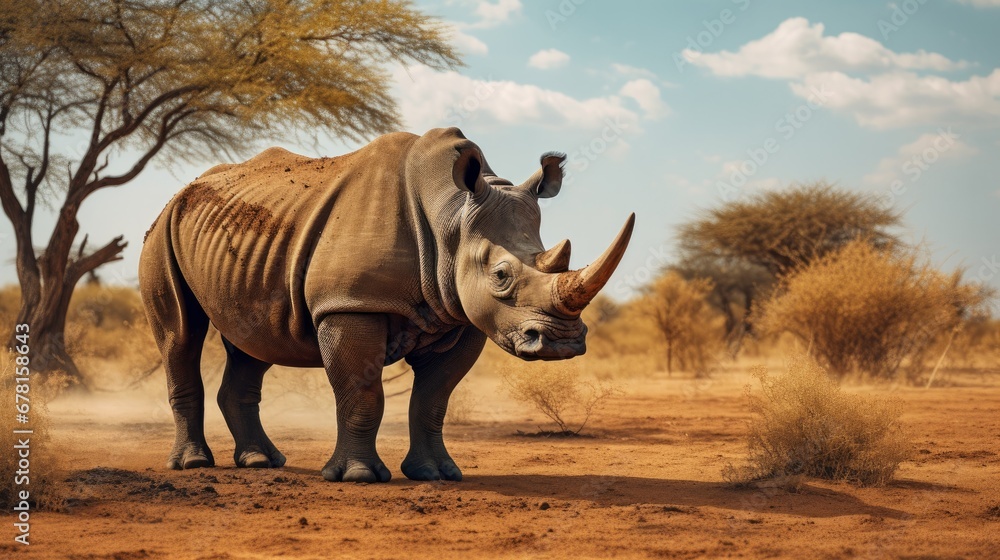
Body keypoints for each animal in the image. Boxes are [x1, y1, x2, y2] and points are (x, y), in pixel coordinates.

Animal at [139, 127, 634, 482]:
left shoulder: (461, 316)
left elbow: (434, 398)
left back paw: (263, 462)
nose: (562, 343)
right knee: (181, 335)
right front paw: (357, 477)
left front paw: (436, 474)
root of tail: (182, 192)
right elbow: (362, 392)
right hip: (162, 229)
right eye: (500, 276)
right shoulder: (350, 304)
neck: (451, 215)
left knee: (252, 341)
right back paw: (193, 465)